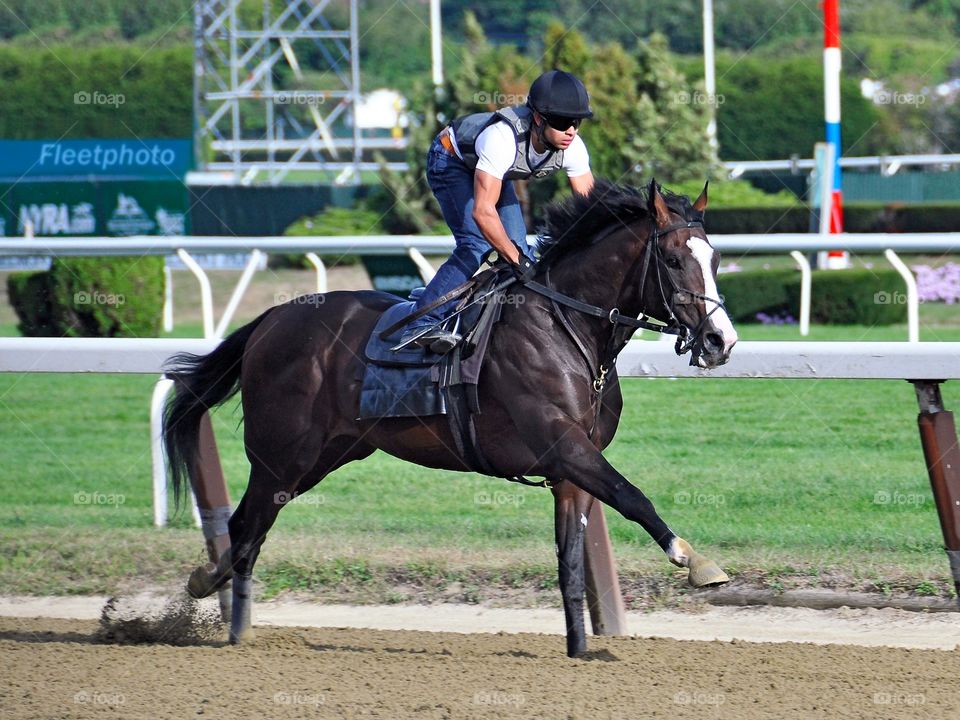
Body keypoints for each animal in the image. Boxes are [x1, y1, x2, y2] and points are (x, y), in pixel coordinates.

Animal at [163, 178, 738, 657]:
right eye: (672, 259)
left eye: (714, 258)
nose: (721, 341)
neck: (567, 325)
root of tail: (271, 318)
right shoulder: (563, 444)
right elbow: (631, 495)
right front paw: (694, 561)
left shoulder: (570, 468)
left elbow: (572, 559)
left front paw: (580, 650)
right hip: (283, 456)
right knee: (245, 528)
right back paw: (227, 619)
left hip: (325, 455)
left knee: (250, 529)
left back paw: (218, 600)